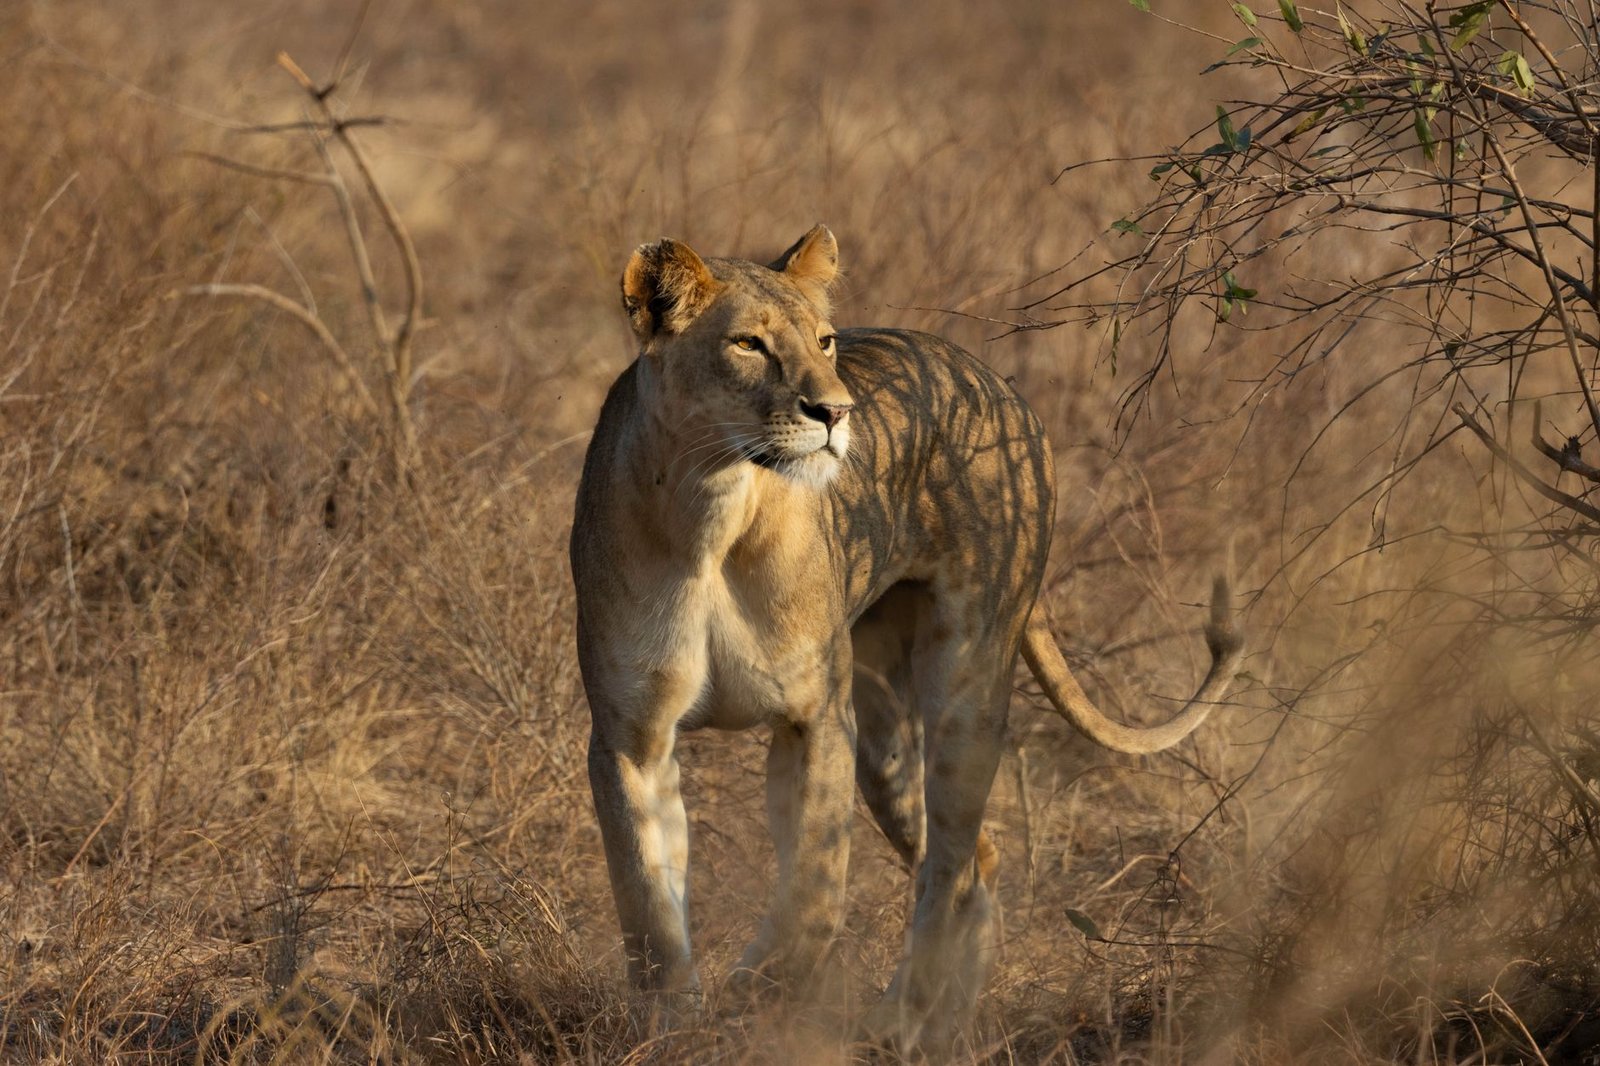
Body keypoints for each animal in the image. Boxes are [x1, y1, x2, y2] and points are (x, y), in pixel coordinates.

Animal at [569, 225, 1241, 1045]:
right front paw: (674, 1022)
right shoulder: (630, 734)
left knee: (952, 862)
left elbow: (815, 887)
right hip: (885, 738)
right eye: (749, 344)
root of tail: (998, 381)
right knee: (974, 860)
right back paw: (943, 1026)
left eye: (824, 340)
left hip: (965, 685)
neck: (712, 507)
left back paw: (900, 1020)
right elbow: (647, 899)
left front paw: (762, 985)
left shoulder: (818, 716)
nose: (834, 412)